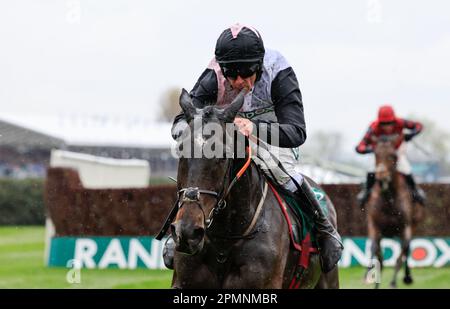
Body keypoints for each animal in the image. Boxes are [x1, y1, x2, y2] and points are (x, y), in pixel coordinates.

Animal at [364, 136, 424, 288]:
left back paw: (407, 277)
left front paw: (393, 282)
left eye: (393, 155)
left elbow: (400, 256)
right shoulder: (374, 226)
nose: (382, 175)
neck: (388, 199)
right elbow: (377, 254)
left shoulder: (405, 228)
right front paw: (373, 280)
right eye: (376, 154)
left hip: (413, 225)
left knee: (406, 250)